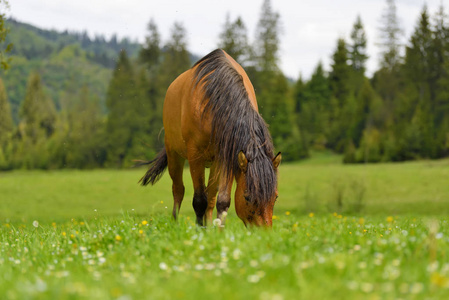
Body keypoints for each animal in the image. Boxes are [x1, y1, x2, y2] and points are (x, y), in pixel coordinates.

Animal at [140, 49, 280, 227]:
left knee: (211, 195)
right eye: (247, 197)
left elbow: (222, 200)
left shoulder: (228, 156)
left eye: (275, 197)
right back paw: (175, 223)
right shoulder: (195, 156)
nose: (264, 231)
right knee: (178, 190)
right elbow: (199, 200)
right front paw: (199, 230)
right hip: (174, 155)